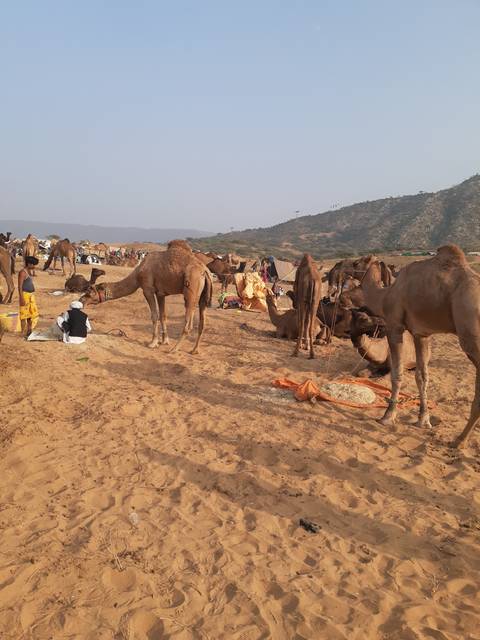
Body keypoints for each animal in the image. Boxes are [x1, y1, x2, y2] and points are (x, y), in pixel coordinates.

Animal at [80, 240, 212, 354]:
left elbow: (154, 315)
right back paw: (194, 350)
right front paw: (164, 341)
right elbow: (163, 316)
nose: (81, 300)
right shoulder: (160, 293)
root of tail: (205, 271)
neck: (138, 273)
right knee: (202, 322)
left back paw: (174, 349)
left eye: (89, 293)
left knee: (188, 322)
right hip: (203, 295)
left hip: (192, 287)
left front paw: (153, 343)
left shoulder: (147, 289)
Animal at [360, 246, 480, 448]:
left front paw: (387, 416)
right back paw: (459, 440)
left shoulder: (394, 325)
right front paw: (423, 420)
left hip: (471, 336)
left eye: (356, 263)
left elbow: (397, 372)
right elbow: (422, 376)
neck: (386, 294)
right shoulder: (421, 333)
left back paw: (458, 441)